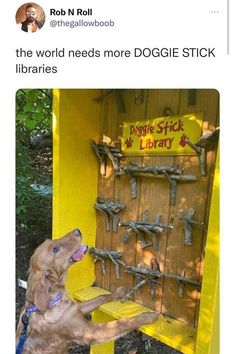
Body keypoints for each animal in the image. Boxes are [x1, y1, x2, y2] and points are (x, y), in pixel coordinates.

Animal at [16, 228, 159, 352]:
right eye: (55, 249)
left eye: (51, 241)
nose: (77, 230)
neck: (54, 300)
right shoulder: (92, 332)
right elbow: (122, 323)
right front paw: (148, 316)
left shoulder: (78, 308)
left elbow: (100, 297)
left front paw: (117, 293)